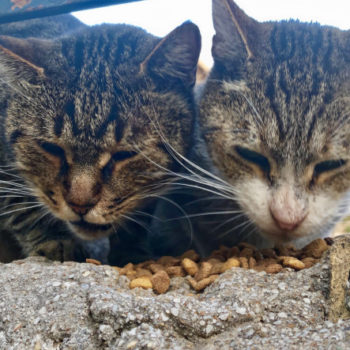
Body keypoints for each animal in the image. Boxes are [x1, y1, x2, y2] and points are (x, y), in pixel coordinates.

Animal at [0, 16, 201, 262]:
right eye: (51, 148)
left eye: (125, 154)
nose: (80, 205)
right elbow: (23, 207)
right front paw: (54, 243)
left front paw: (131, 251)